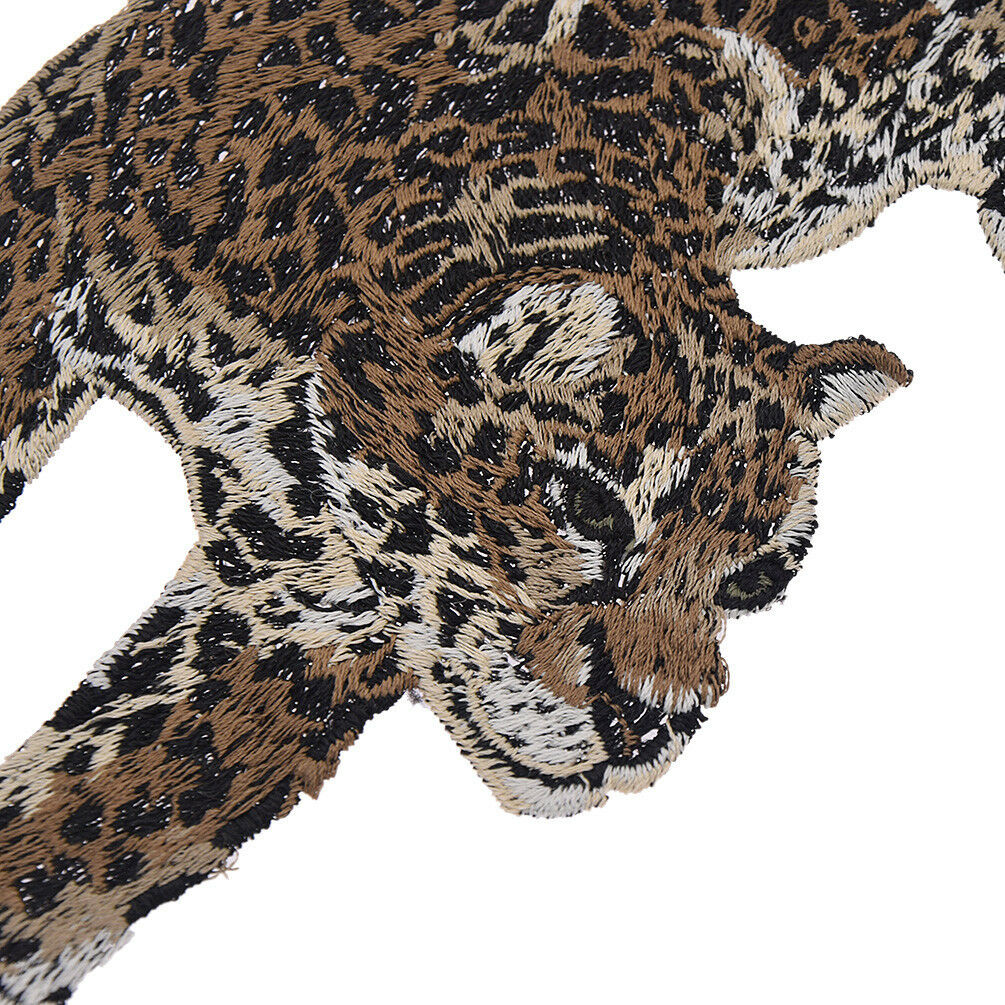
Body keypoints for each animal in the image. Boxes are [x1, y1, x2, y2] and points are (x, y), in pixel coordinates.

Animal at [0, 0, 1000, 1000]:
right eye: (590, 509)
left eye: (754, 583)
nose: (651, 720)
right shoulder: (47, 183)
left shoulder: (304, 609)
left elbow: (90, 820)